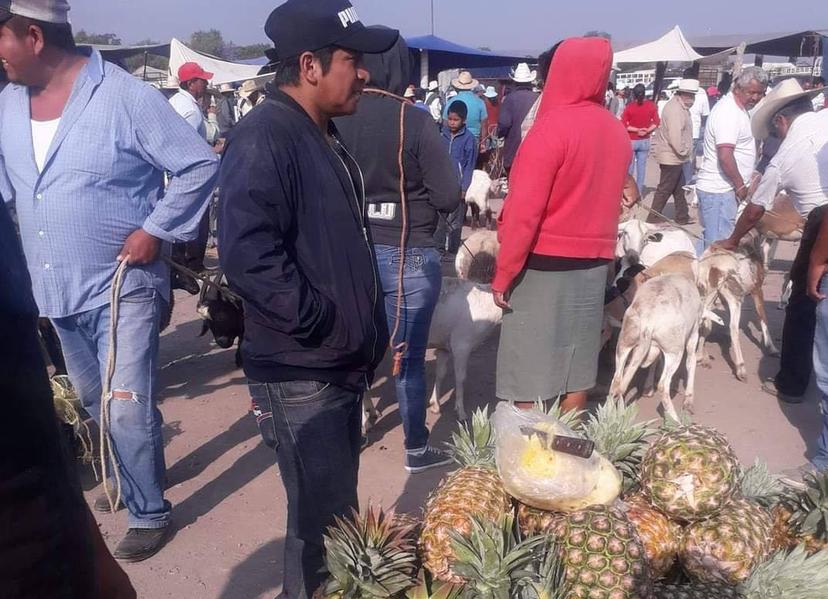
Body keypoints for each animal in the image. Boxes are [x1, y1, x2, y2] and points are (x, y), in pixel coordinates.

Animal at [430, 278, 502, 422]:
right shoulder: (461, 344)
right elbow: (460, 377)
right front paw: (461, 412)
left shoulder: (443, 346)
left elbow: (440, 373)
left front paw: (435, 404)